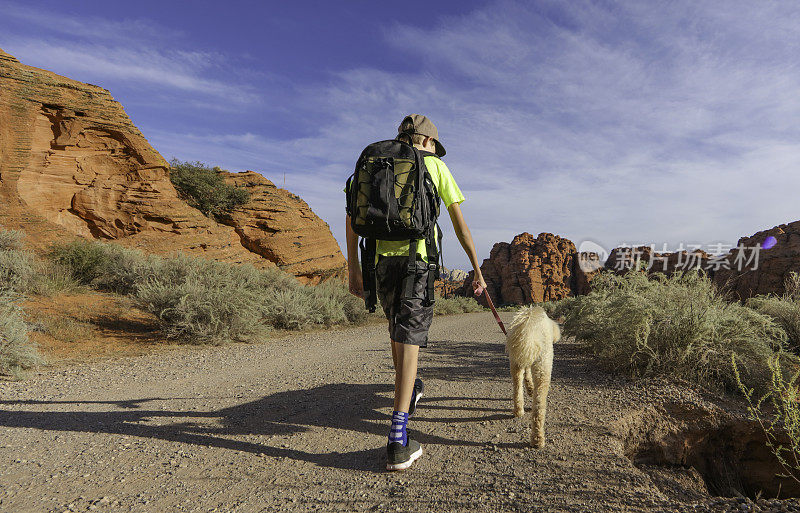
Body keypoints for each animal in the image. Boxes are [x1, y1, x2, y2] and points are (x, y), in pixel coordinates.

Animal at [510, 306, 560, 446]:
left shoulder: (524, 358)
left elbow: (526, 375)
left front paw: (529, 388)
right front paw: (531, 389)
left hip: (515, 364)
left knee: (517, 389)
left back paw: (518, 410)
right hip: (543, 367)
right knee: (539, 406)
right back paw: (538, 439)